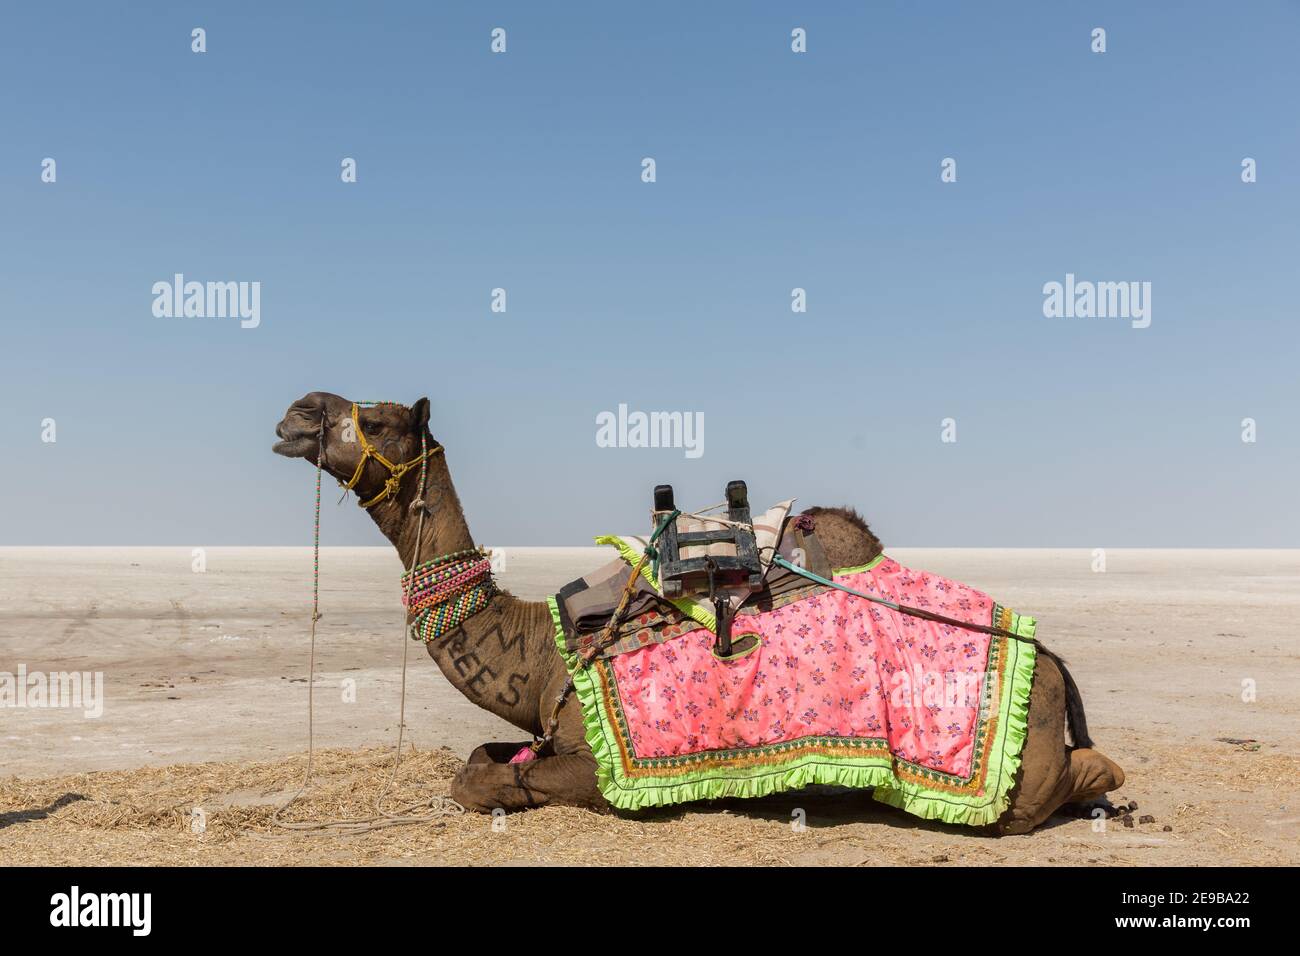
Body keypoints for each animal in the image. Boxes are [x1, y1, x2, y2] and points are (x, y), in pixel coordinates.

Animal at [274, 392, 1128, 832]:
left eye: (380, 420)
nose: (299, 412)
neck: (541, 649)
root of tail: (1050, 661)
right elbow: (482, 760)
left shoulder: (596, 767)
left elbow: (480, 781)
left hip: (1014, 779)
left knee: (1080, 775)